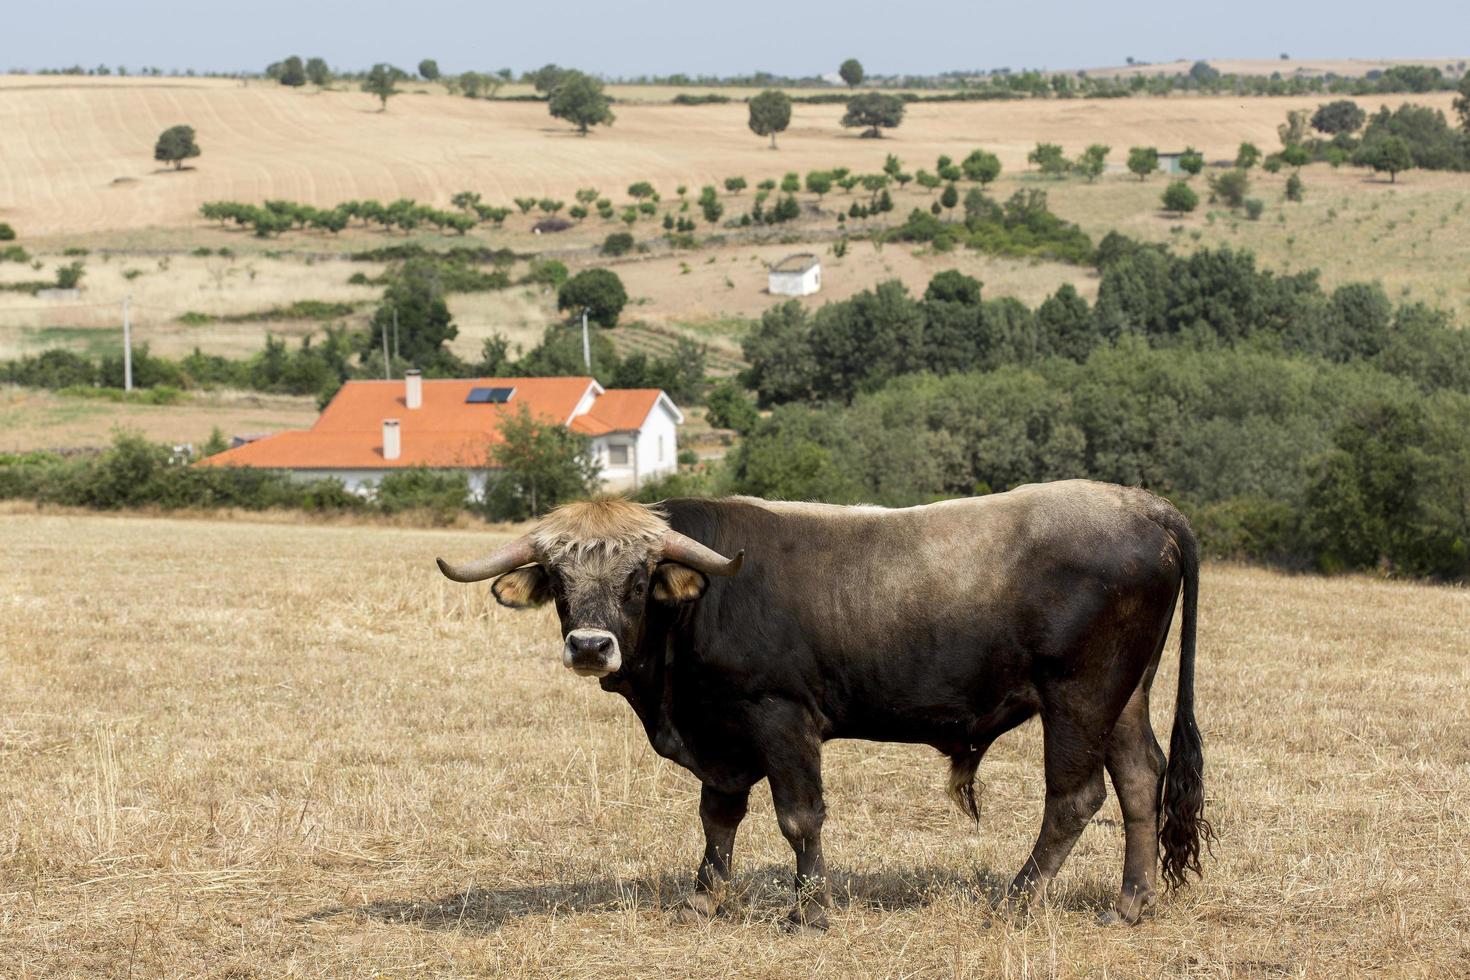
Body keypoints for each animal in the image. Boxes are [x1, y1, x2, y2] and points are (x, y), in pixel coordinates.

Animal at [432, 481, 1205, 928]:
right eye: (559, 578)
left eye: (637, 577)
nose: (591, 646)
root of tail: (1148, 508)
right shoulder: (723, 734)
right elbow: (718, 815)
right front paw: (705, 895)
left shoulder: (780, 717)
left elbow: (798, 816)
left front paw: (809, 908)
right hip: (1124, 694)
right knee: (1142, 778)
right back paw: (1131, 903)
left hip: (1078, 694)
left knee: (1075, 798)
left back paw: (1015, 899)